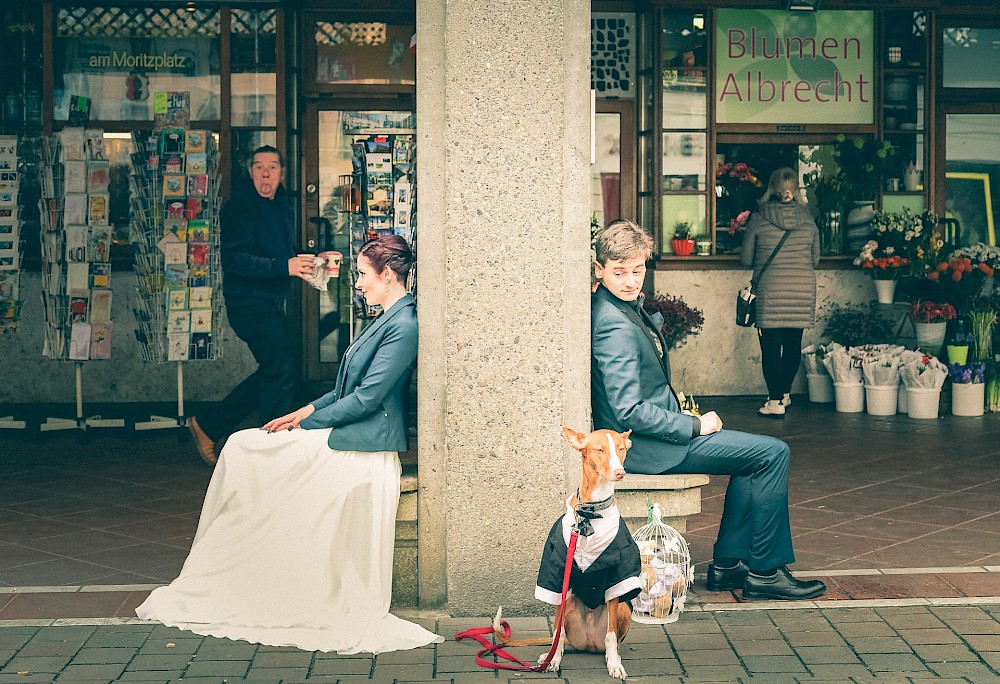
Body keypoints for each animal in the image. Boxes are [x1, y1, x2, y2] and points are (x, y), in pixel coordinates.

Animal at [492, 428, 640, 680]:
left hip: (623, 608)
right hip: (568, 603)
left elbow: (611, 635)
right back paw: (550, 654)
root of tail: (589, 644)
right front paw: (553, 661)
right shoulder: (559, 570)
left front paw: (615, 665)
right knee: (559, 636)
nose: (619, 472)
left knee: (613, 640)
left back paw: (612, 656)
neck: (591, 514)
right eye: (599, 449)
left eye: (621, 449)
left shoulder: (617, 575)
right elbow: (557, 632)